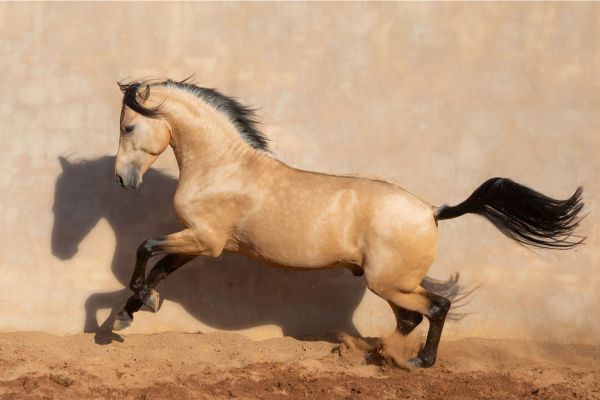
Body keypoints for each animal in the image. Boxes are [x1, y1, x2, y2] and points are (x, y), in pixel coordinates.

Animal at [110, 79, 584, 368]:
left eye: (129, 126)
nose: (122, 180)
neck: (223, 168)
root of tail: (432, 210)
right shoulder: (202, 243)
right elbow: (160, 269)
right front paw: (129, 314)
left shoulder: (203, 240)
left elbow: (145, 248)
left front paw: (137, 306)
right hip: (390, 283)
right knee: (411, 318)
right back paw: (379, 355)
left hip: (389, 283)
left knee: (436, 308)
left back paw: (416, 361)